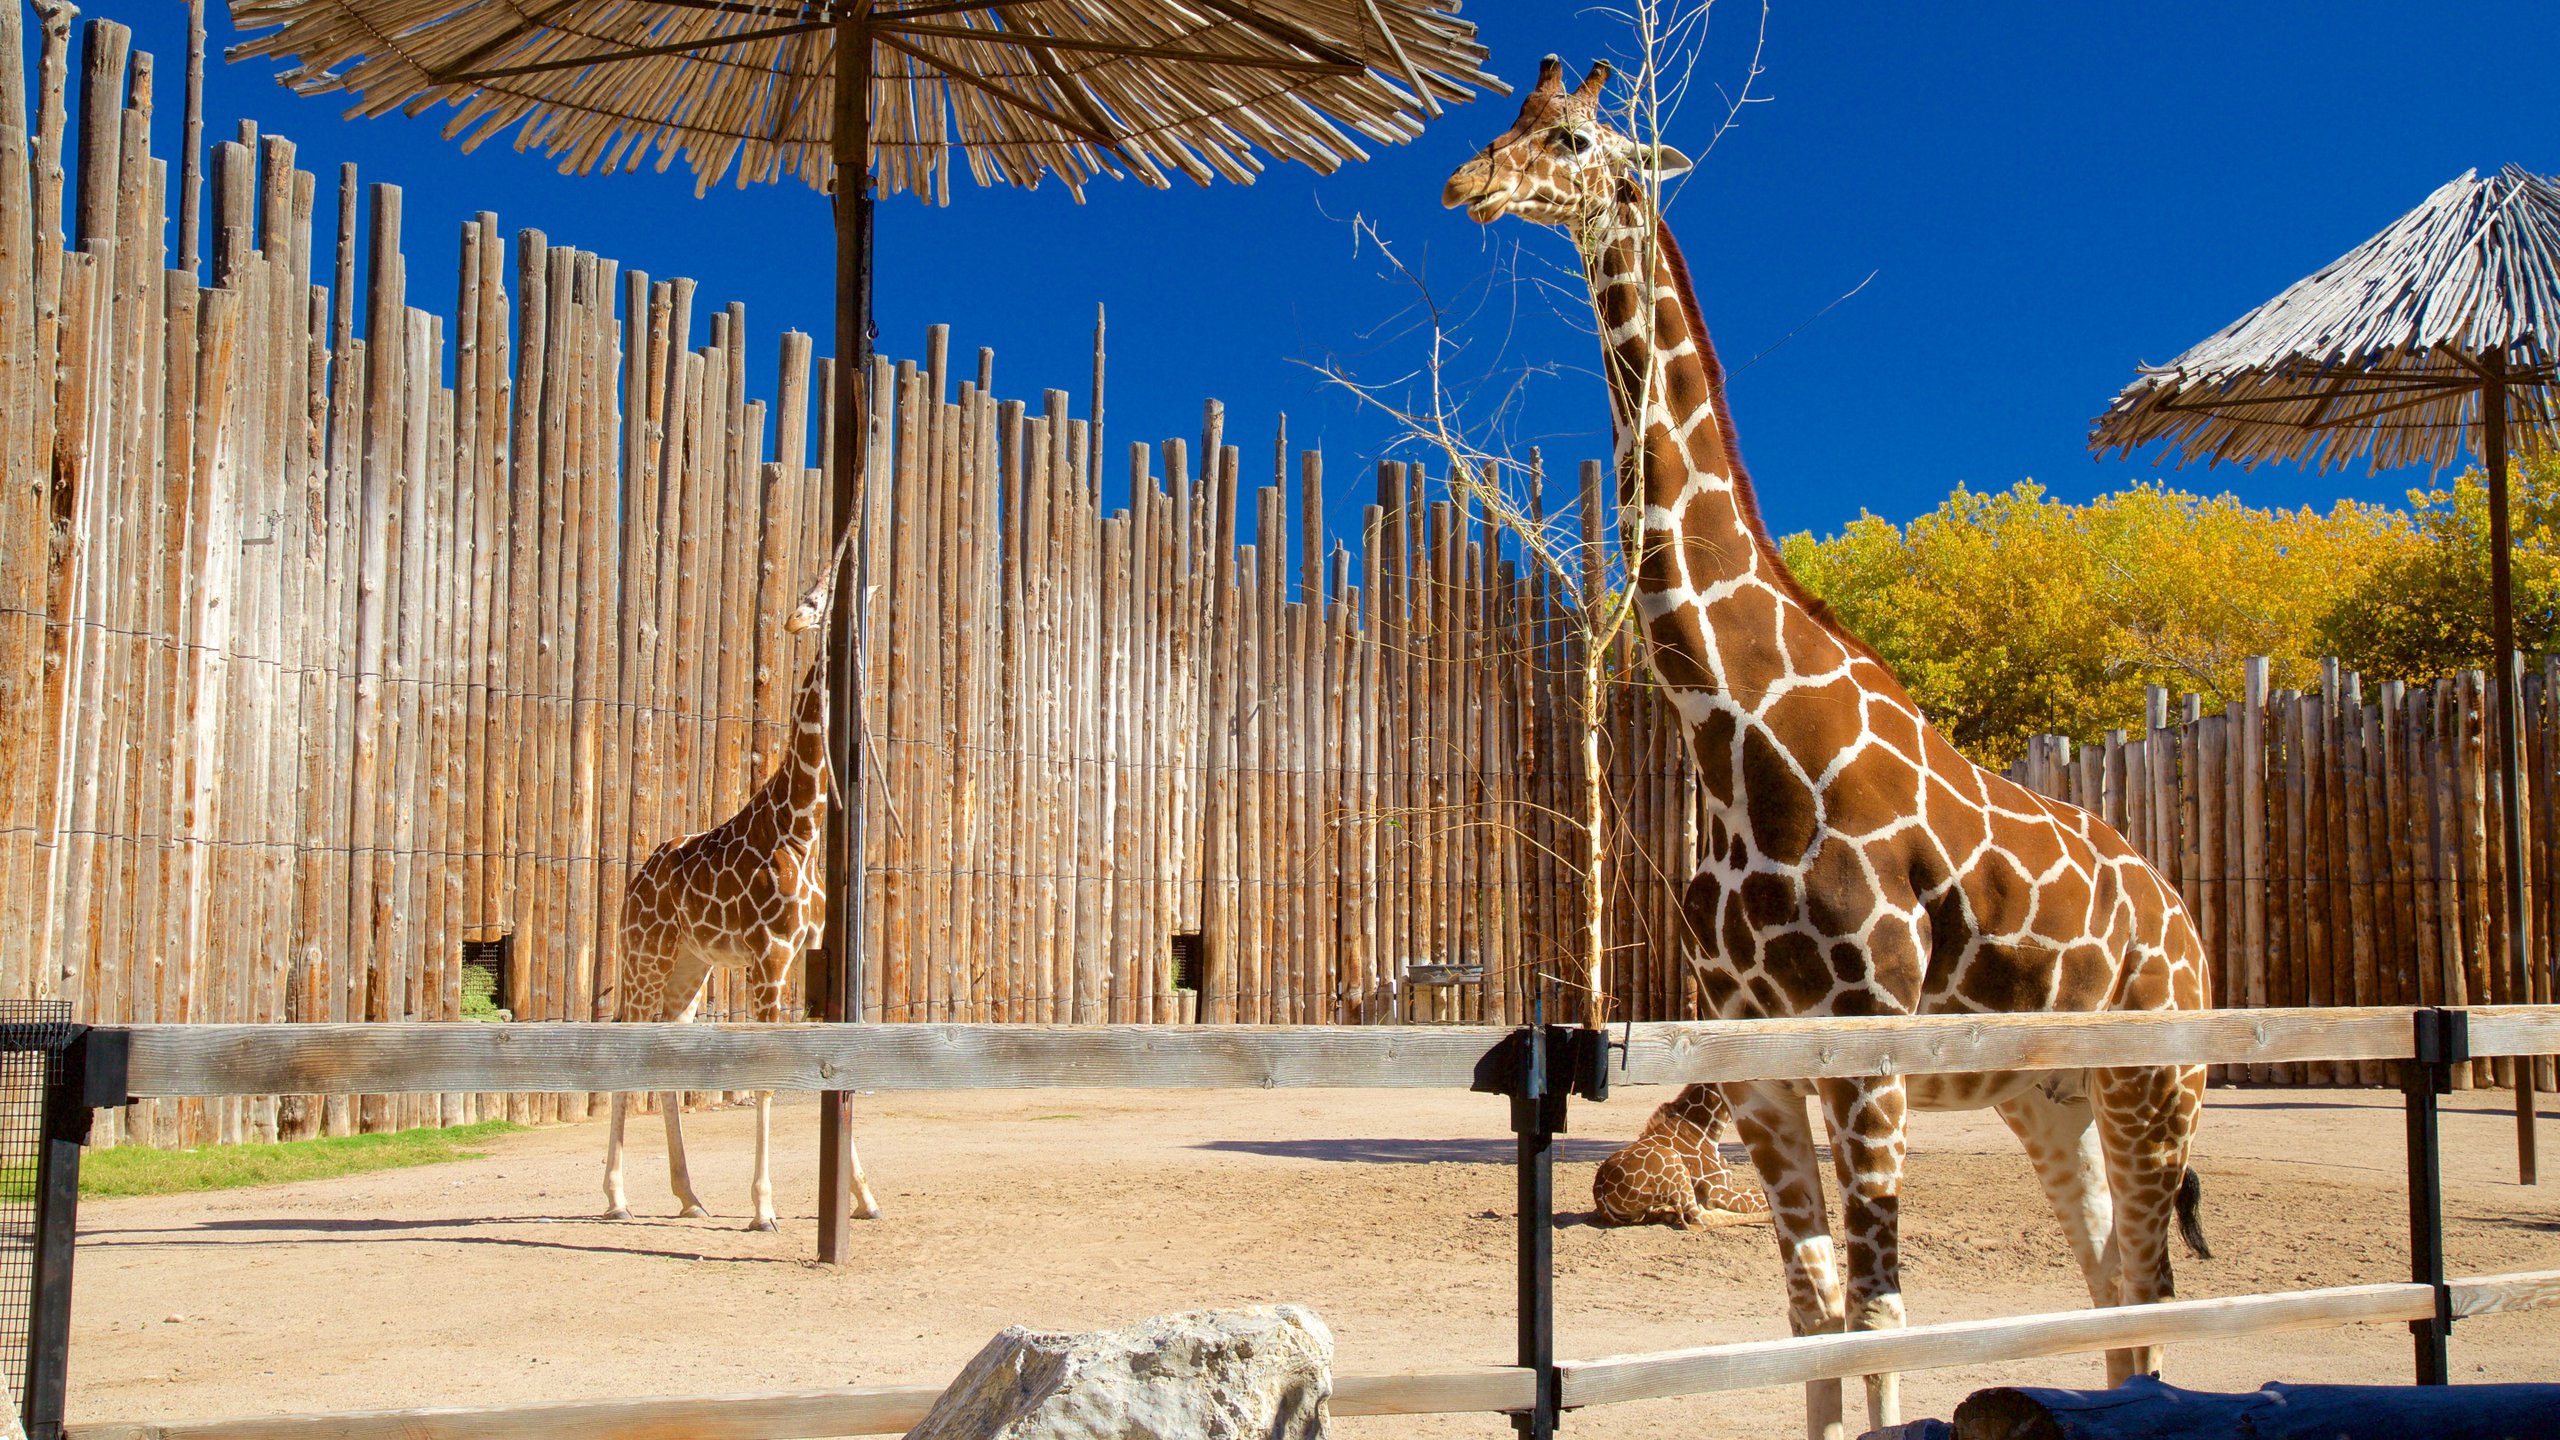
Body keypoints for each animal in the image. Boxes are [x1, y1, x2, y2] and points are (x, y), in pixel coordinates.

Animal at [1587, 1081, 1771, 1229]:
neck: (1703, 1133)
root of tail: (1599, 1188)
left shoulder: (1727, 1186)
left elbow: (1759, 1194)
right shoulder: (1713, 1191)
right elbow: (1762, 1202)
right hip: (1676, 1171)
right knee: (1700, 1219)